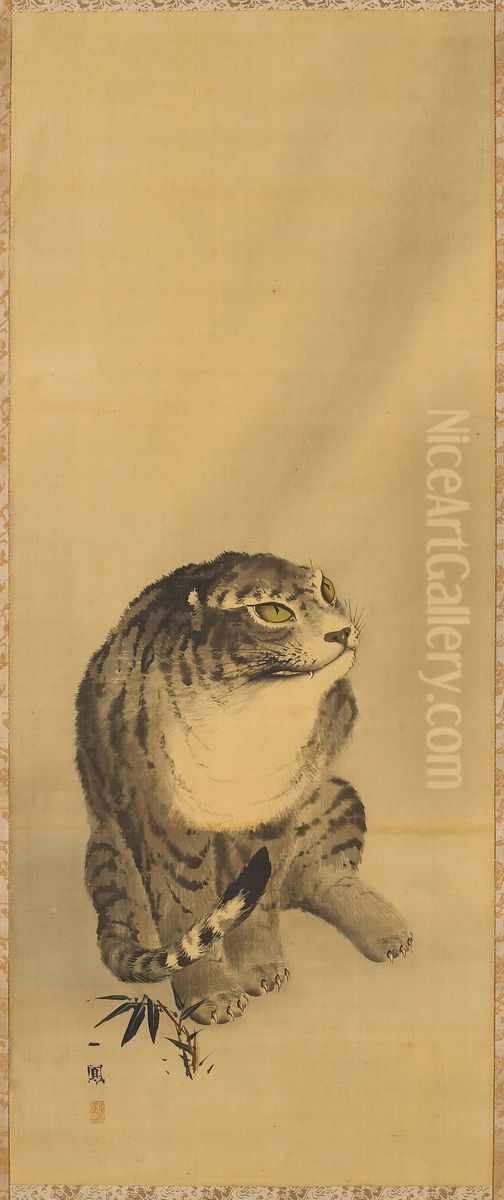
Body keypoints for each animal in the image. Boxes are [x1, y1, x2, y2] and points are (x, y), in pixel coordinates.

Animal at [76, 551, 413, 1025]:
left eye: (327, 589)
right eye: (273, 611)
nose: (341, 631)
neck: (251, 719)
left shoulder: (272, 815)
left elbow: (262, 900)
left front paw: (260, 967)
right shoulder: (166, 825)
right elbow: (185, 907)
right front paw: (212, 993)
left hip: (333, 796)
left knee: (323, 877)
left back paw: (387, 929)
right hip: (115, 855)